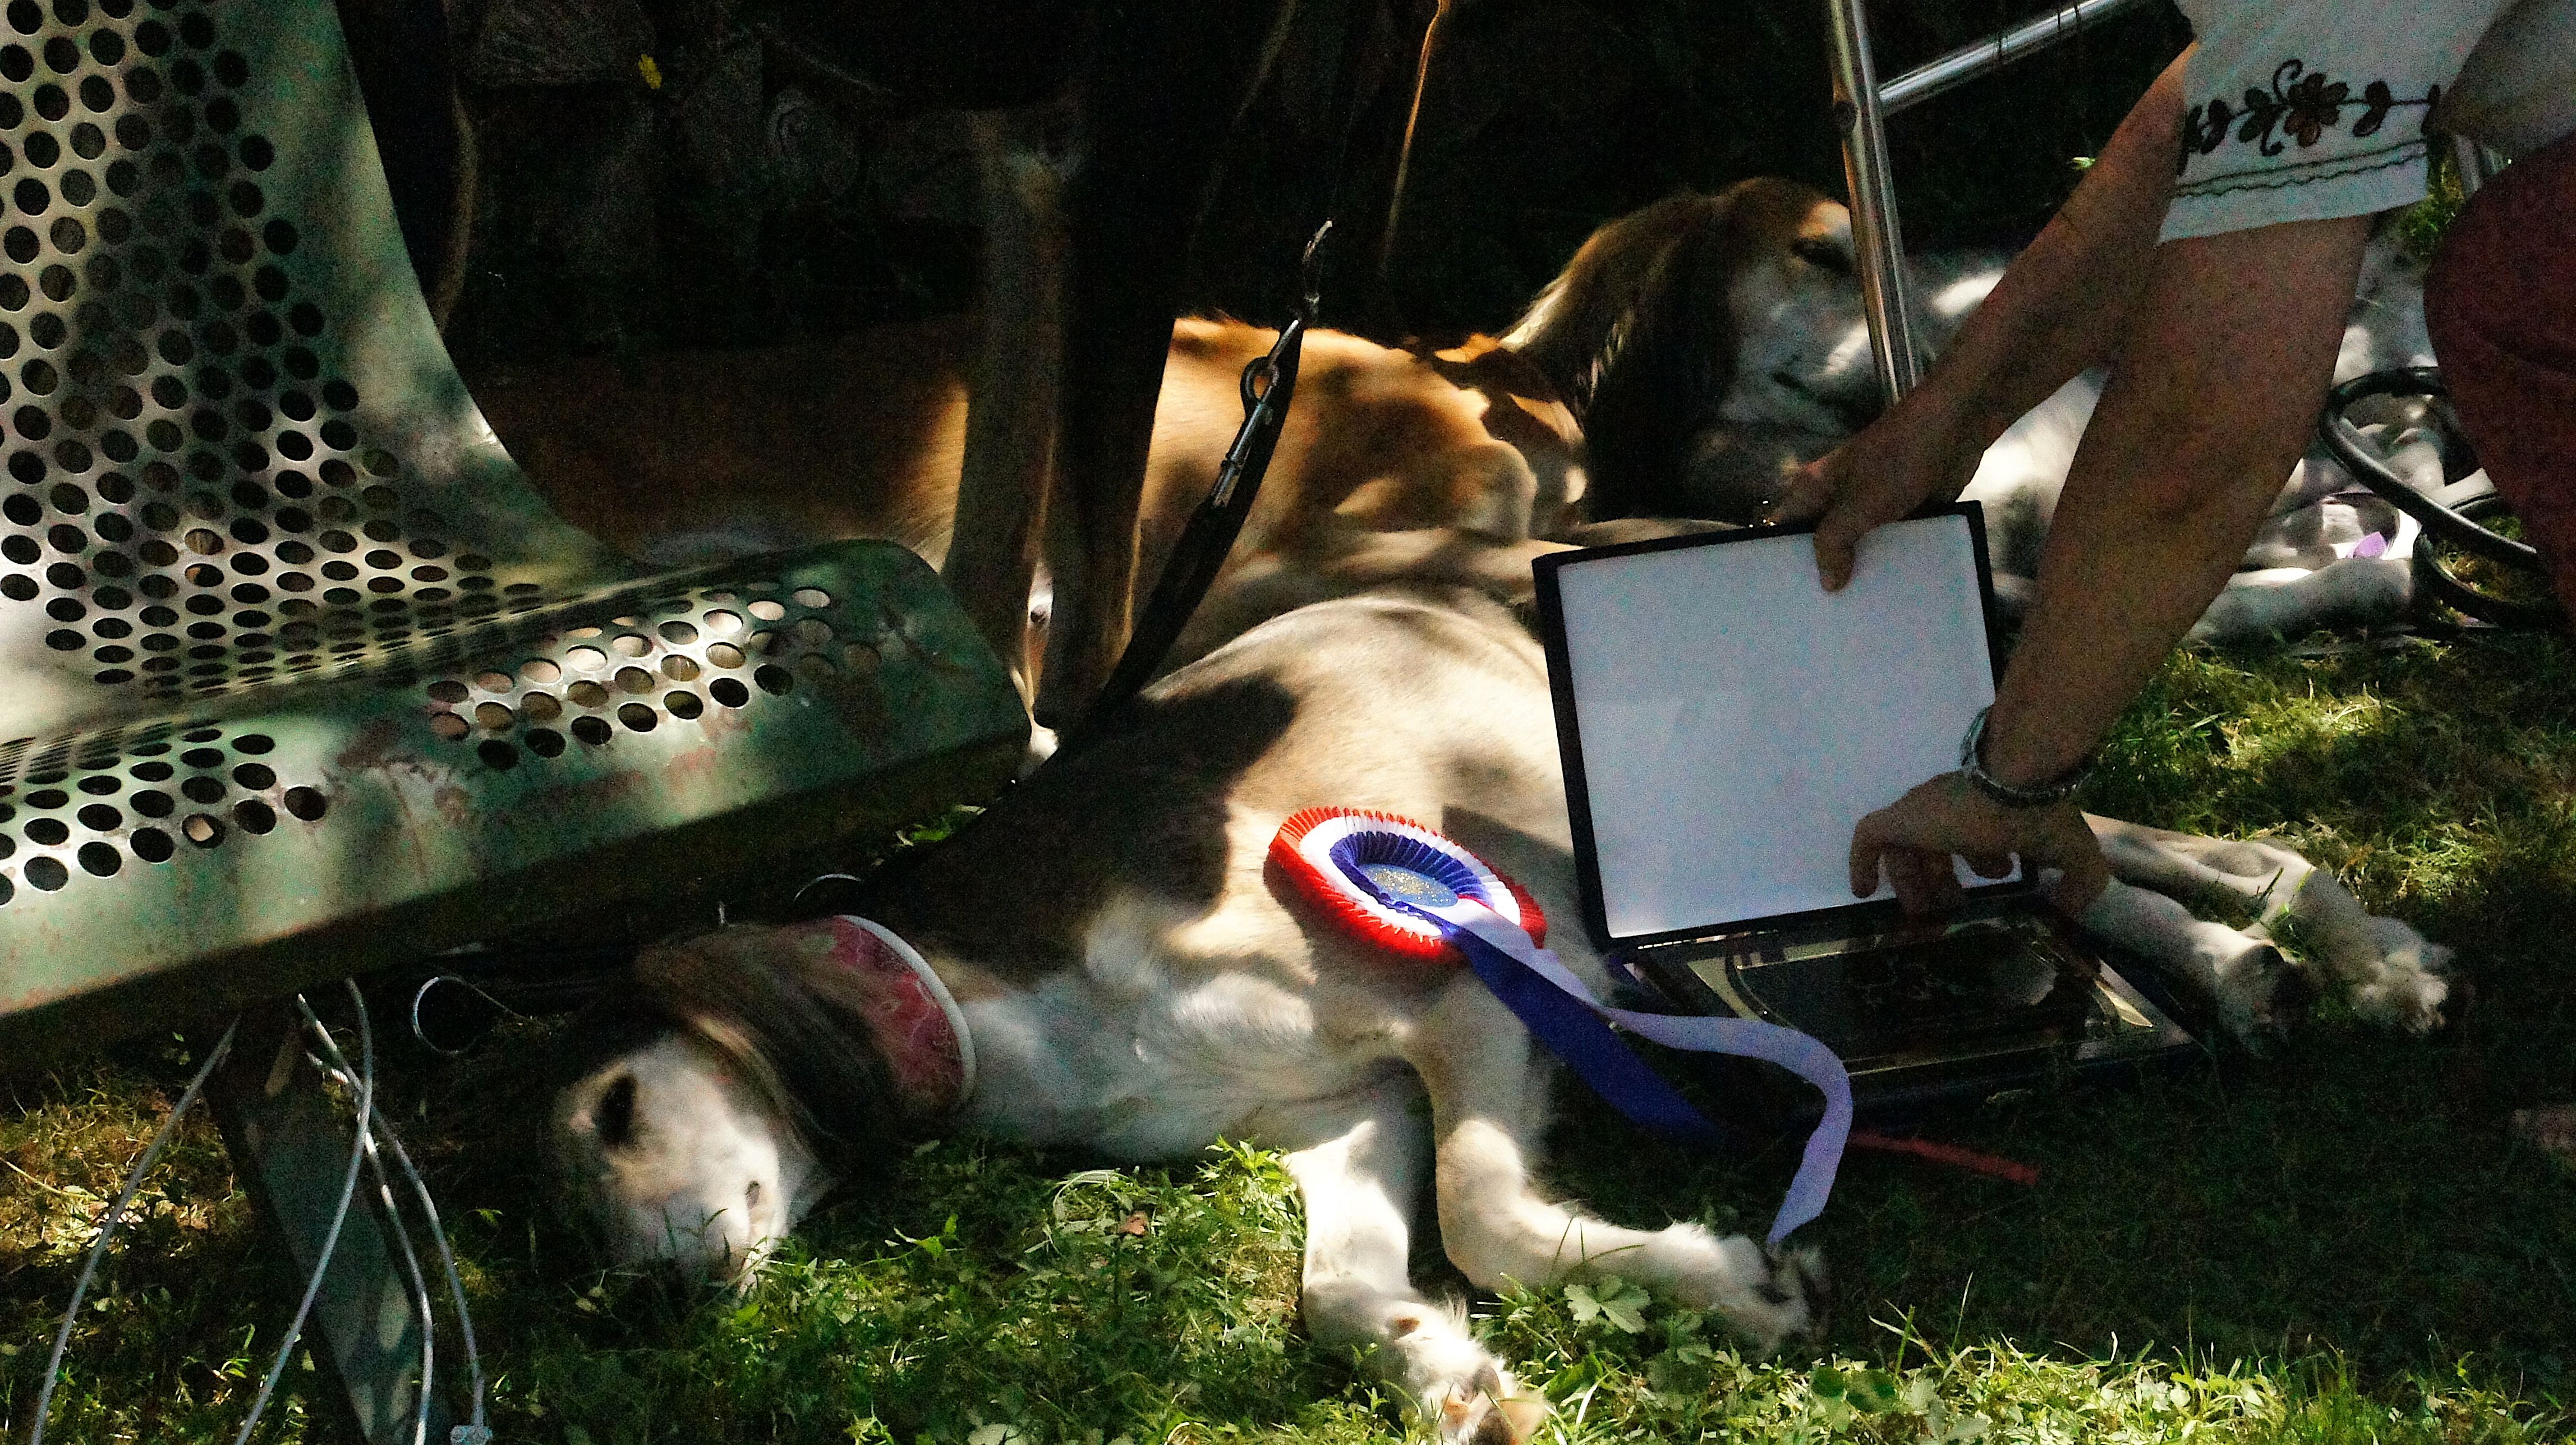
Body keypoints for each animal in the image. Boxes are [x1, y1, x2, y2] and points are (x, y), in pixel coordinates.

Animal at [549, 579, 2452, 1432]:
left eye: (610, 1113)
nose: (631, 1309)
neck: (1015, 1005)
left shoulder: (1476, 996)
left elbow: (1485, 1211)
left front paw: (1726, 1284)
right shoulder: (1337, 1116)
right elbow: (1343, 1287)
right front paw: (1452, 1373)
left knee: (2115, 859)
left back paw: (2304, 958)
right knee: (2138, 863)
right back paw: (2283, 961)